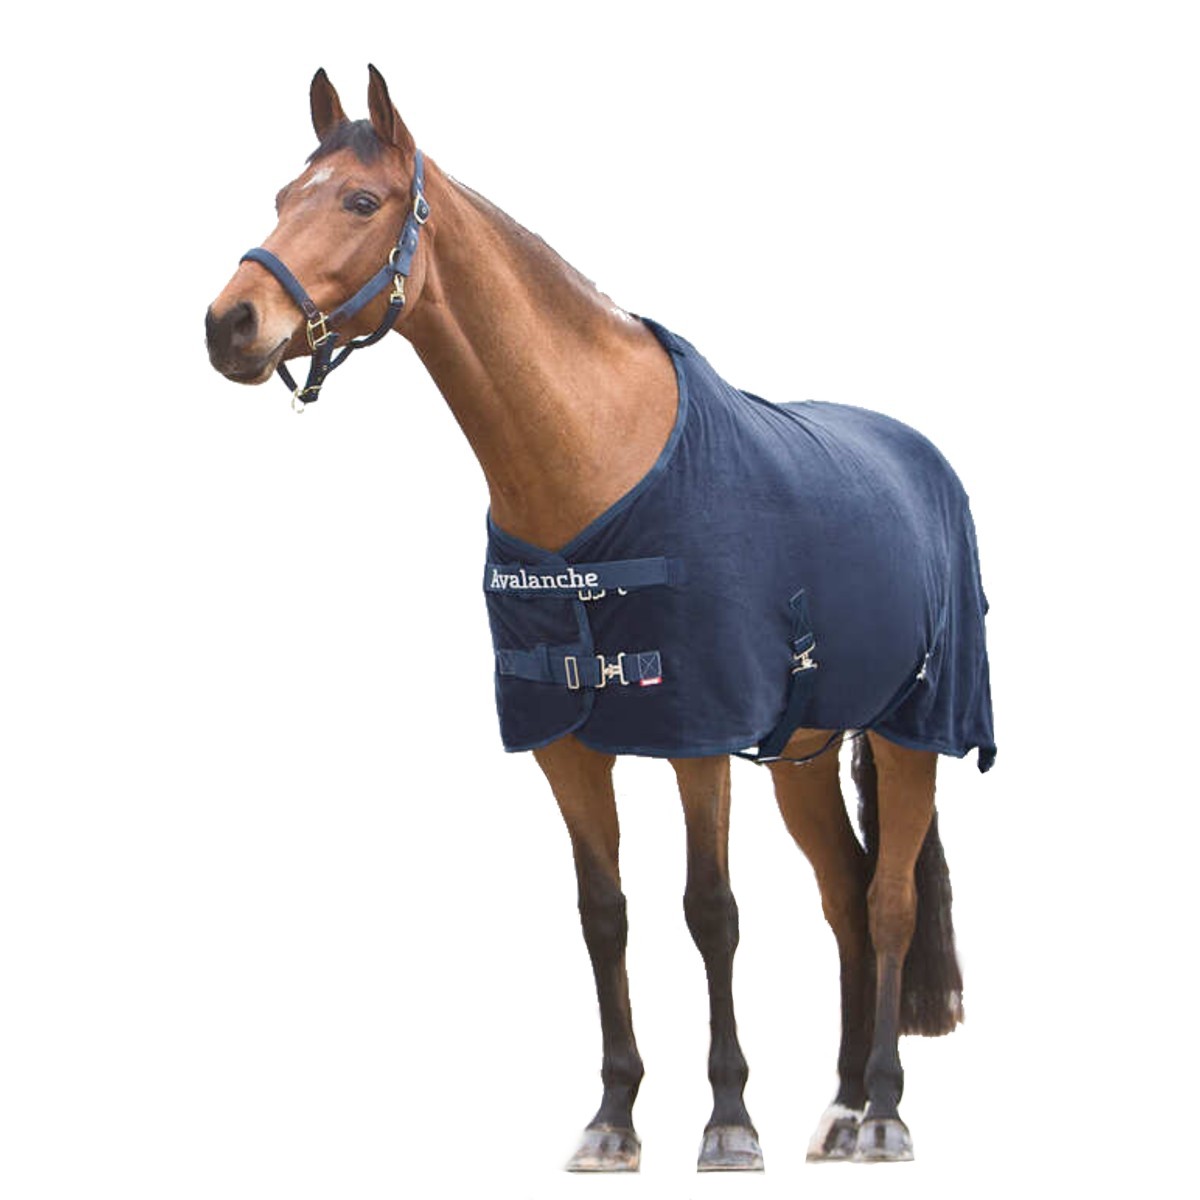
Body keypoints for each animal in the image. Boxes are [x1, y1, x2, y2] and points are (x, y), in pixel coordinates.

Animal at [205, 65, 995, 1171]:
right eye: (283, 195)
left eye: (359, 201)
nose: (229, 323)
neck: (592, 469)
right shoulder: (565, 744)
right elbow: (603, 916)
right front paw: (614, 1119)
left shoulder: (697, 735)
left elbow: (711, 912)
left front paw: (728, 1121)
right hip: (802, 752)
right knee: (844, 896)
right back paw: (839, 1108)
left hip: (910, 731)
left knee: (886, 904)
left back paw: (881, 1112)